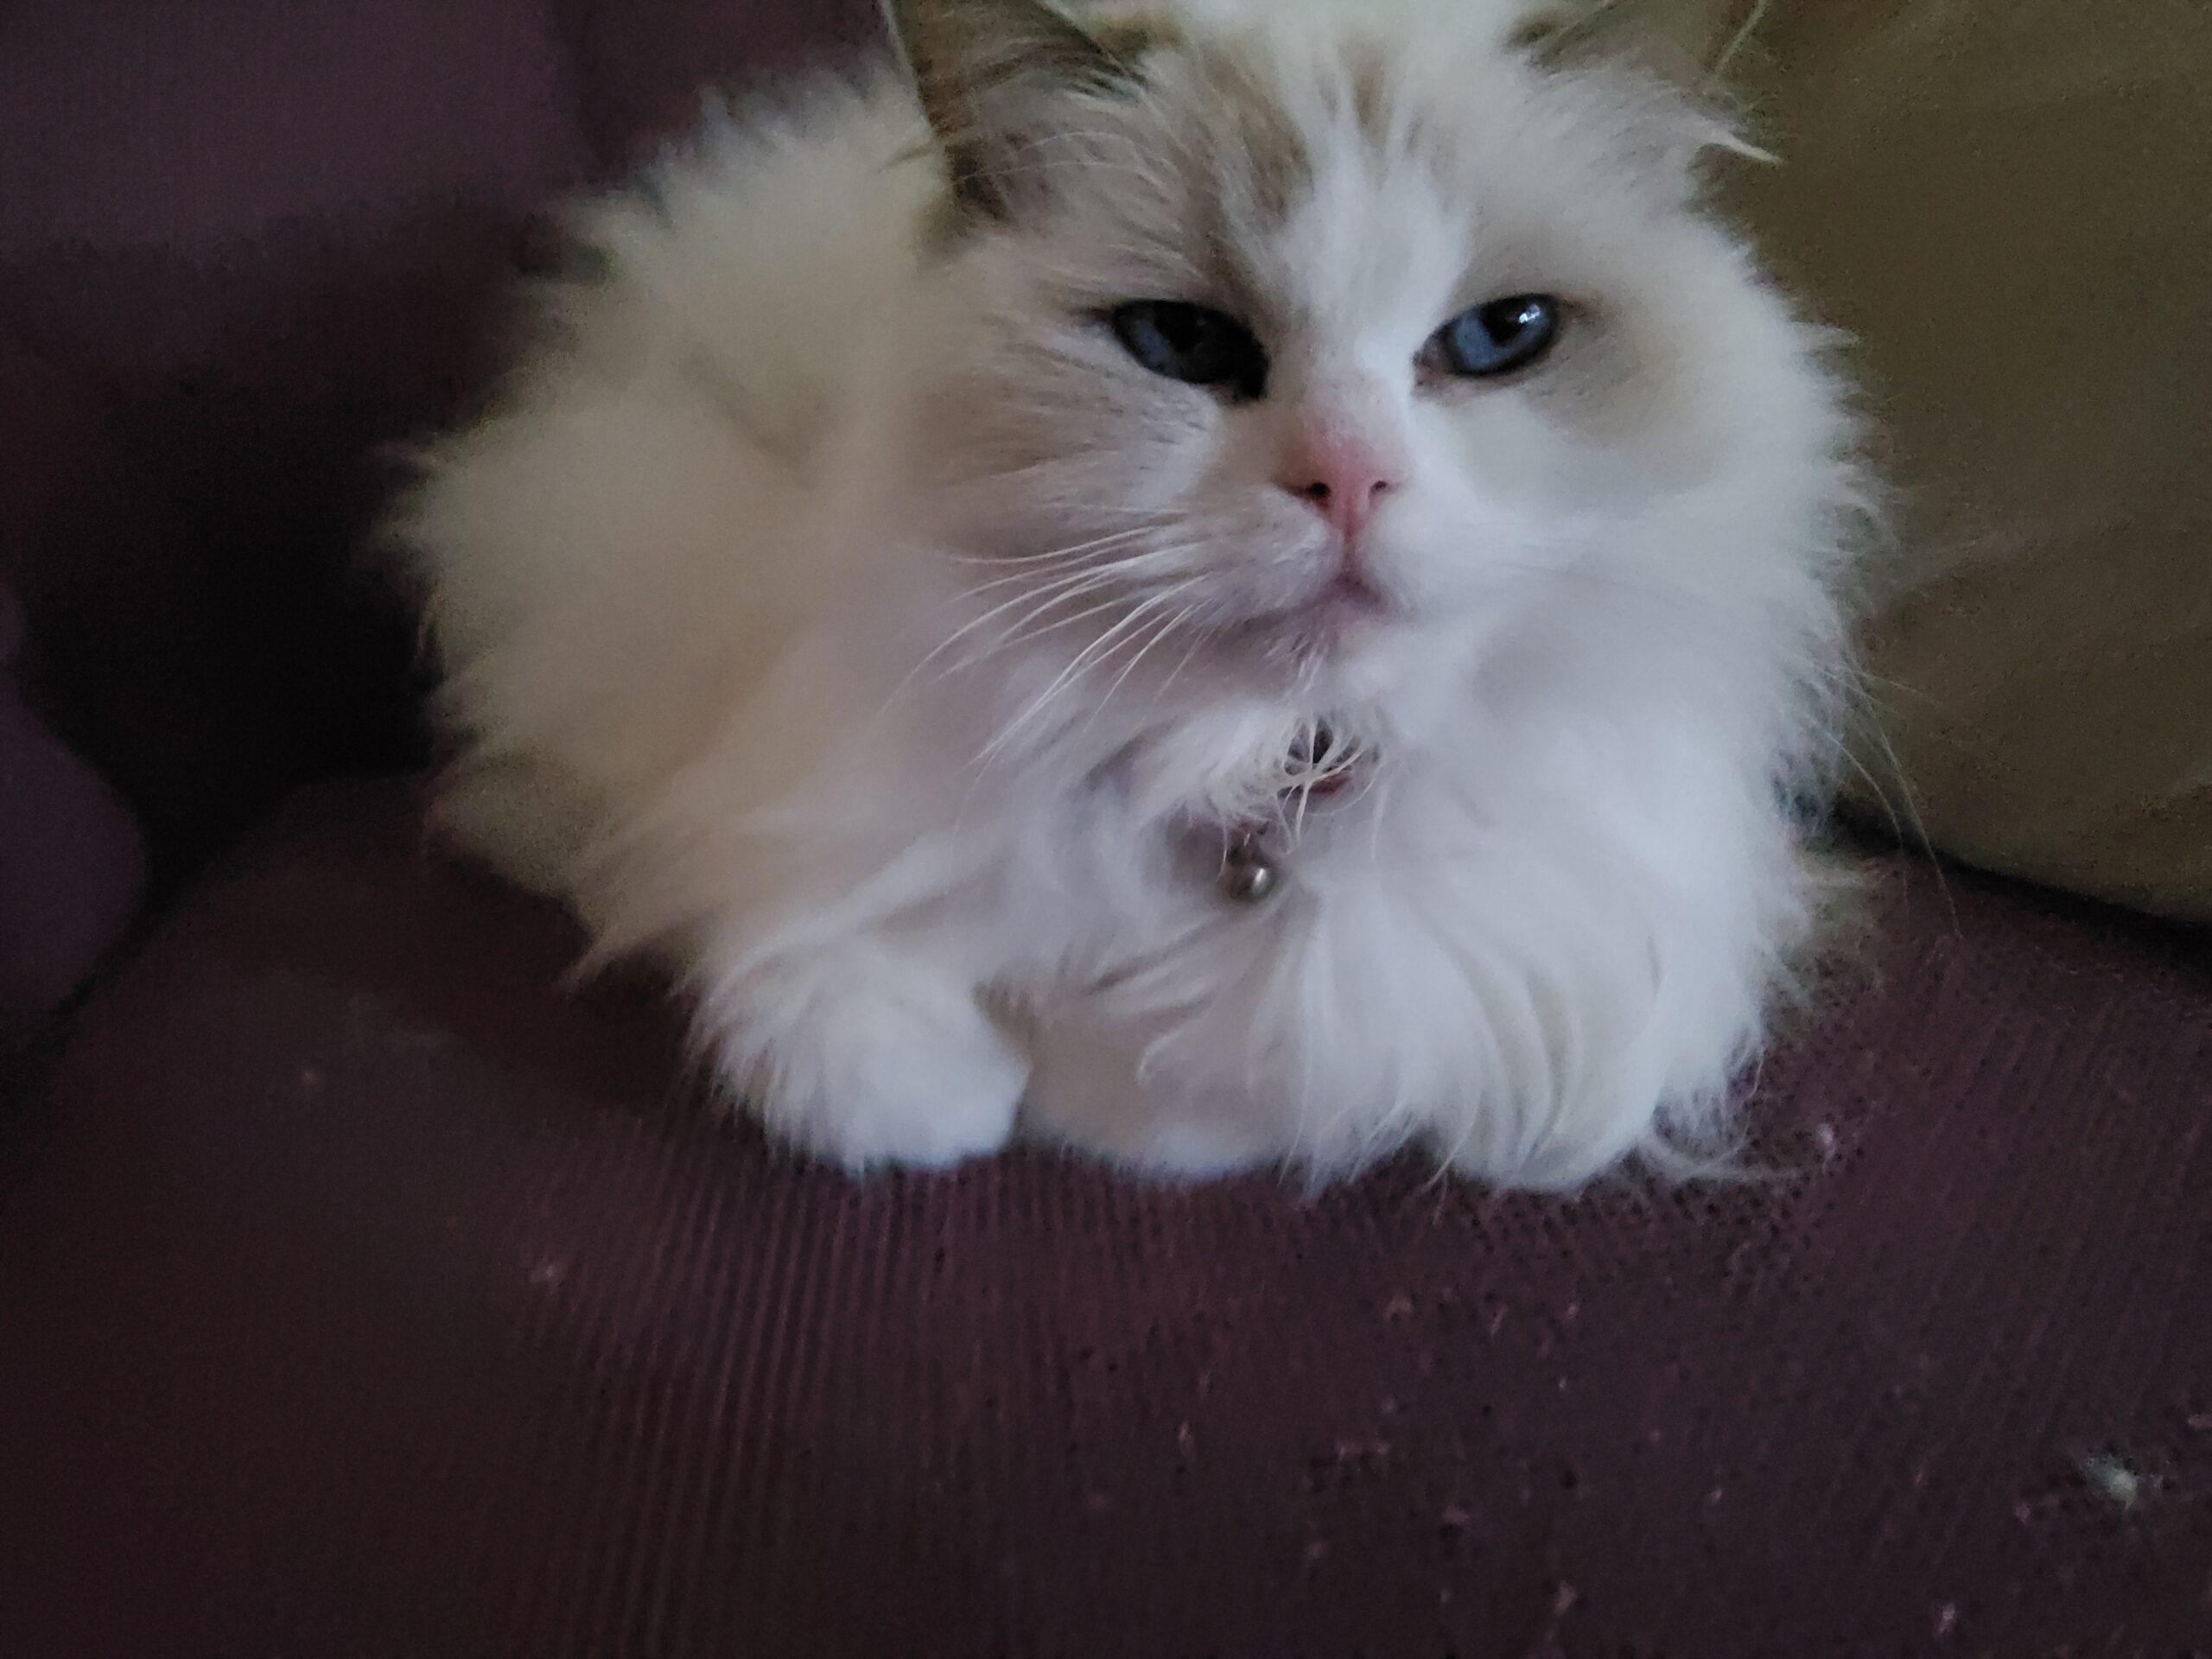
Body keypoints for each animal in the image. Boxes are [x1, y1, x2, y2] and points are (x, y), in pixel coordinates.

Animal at [397, 0, 1866, 1194]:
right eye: (1182, 342)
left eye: (1501, 338)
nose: (1349, 481)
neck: (1243, 766)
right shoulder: (784, 805)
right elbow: (827, 1010)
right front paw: (972, 1104)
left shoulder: (1535, 967)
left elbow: (1239, 1066)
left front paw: (1080, 1094)